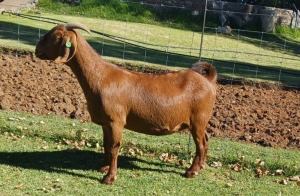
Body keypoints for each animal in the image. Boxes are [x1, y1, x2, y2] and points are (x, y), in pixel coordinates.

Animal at [35, 23, 217, 184]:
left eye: (54, 36)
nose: (37, 49)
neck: (101, 77)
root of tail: (208, 80)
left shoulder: (116, 121)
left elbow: (114, 147)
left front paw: (109, 177)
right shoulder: (106, 122)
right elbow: (106, 145)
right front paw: (103, 167)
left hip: (198, 119)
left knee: (201, 144)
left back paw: (191, 171)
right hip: (200, 121)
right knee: (206, 140)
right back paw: (201, 166)